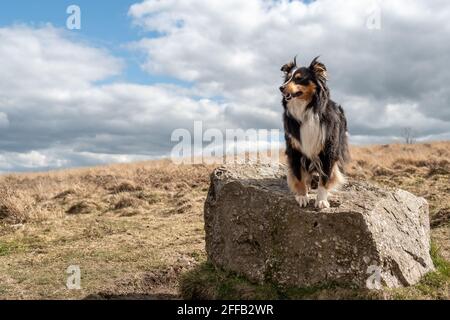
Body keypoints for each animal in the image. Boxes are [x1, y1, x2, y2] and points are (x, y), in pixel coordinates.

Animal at [280, 56, 350, 209]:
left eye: (299, 78)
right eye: (287, 79)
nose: (280, 88)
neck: (306, 109)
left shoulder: (328, 149)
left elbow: (325, 178)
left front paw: (321, 200)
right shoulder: (295, 149)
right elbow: (299, 176)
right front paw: (302, 196)